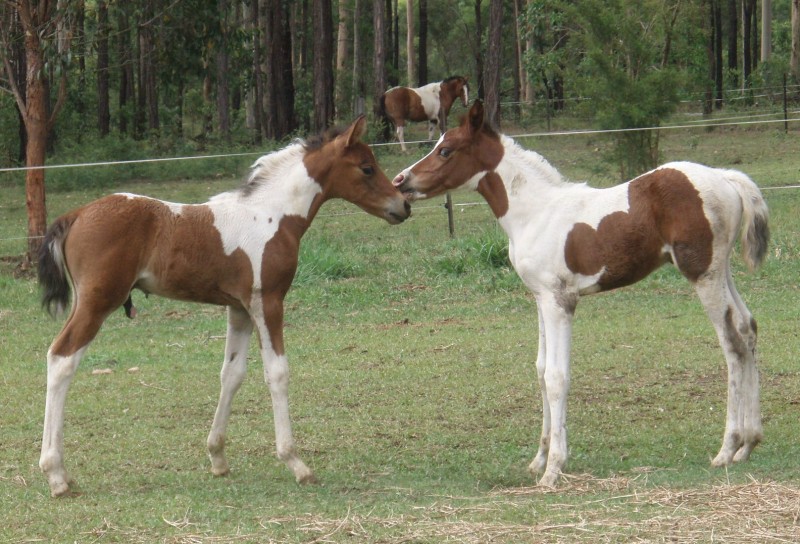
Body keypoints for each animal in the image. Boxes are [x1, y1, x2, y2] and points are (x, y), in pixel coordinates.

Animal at [37, 116, 411, 497]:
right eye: (367, 167)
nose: (403, 205)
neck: (272, 216)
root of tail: (77, 213)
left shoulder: (240, 309)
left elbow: (232, 374)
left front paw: (217, 457)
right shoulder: (267, 302)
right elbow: (277, 372)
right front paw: (295, 462)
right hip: (97, 302)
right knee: (62, 358)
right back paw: (56, 474)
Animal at [392, 100, 769, 487]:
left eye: (446, 150)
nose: (400, 181)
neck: (535, 213)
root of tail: (726, 177)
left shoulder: (560, 301)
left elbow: (557, 377)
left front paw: (554, 469)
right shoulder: (540, 298)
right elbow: (541, 369)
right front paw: (539, 459)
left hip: (702, 275)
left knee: (731, 344)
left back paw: (727, 447)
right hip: (721, 270)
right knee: (747, 327)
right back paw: (749, 443)